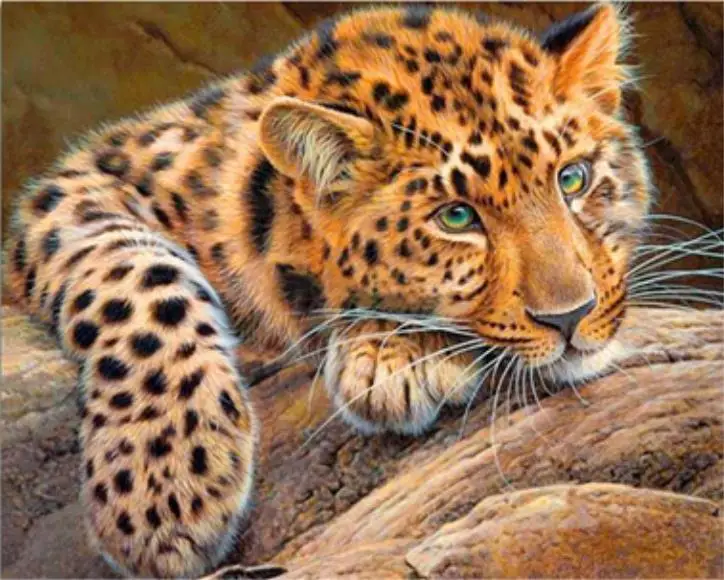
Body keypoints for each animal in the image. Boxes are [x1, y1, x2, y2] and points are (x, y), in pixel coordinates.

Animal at [3, 3, 651, 578]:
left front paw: (393, 353)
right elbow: (136, 274)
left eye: (574, 179)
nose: (572, 316)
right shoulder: (78, 186)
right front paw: (165, 482)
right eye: (456, 217)